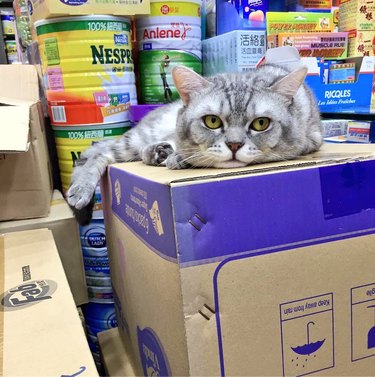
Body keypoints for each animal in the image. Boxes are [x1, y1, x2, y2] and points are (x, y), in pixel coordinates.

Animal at [67, 64, 324, 223]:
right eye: (212, 121)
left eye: (261, 123)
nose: (234, 145)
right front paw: (180, 157)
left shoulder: (311, 140)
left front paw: (175, 158)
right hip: (135, 138)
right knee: (98, 151)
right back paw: (81, 189)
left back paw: (160, 153)